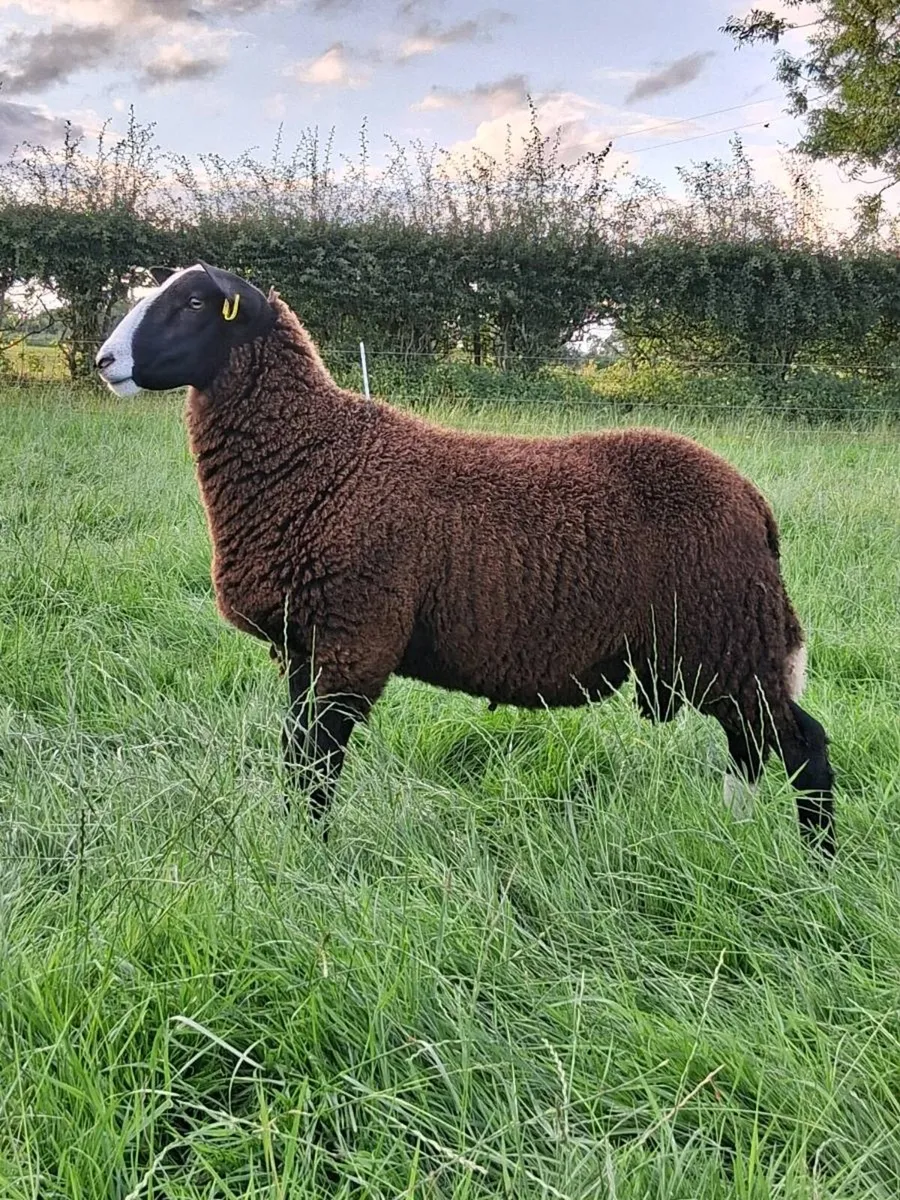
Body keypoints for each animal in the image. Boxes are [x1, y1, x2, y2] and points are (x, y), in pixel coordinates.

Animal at [95, 261, 836, 856]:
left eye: (194, 302)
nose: (104, 362)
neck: (319, 458)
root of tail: (753, 501)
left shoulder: (353, 639)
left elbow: (318, 764)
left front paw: (311, 859)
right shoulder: (303, 645)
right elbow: (297, 758)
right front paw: (295, 846)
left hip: (725, 634)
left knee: (803, 747)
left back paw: (815, 868)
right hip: (716, 647)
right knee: (750, 749)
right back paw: (737, 836)